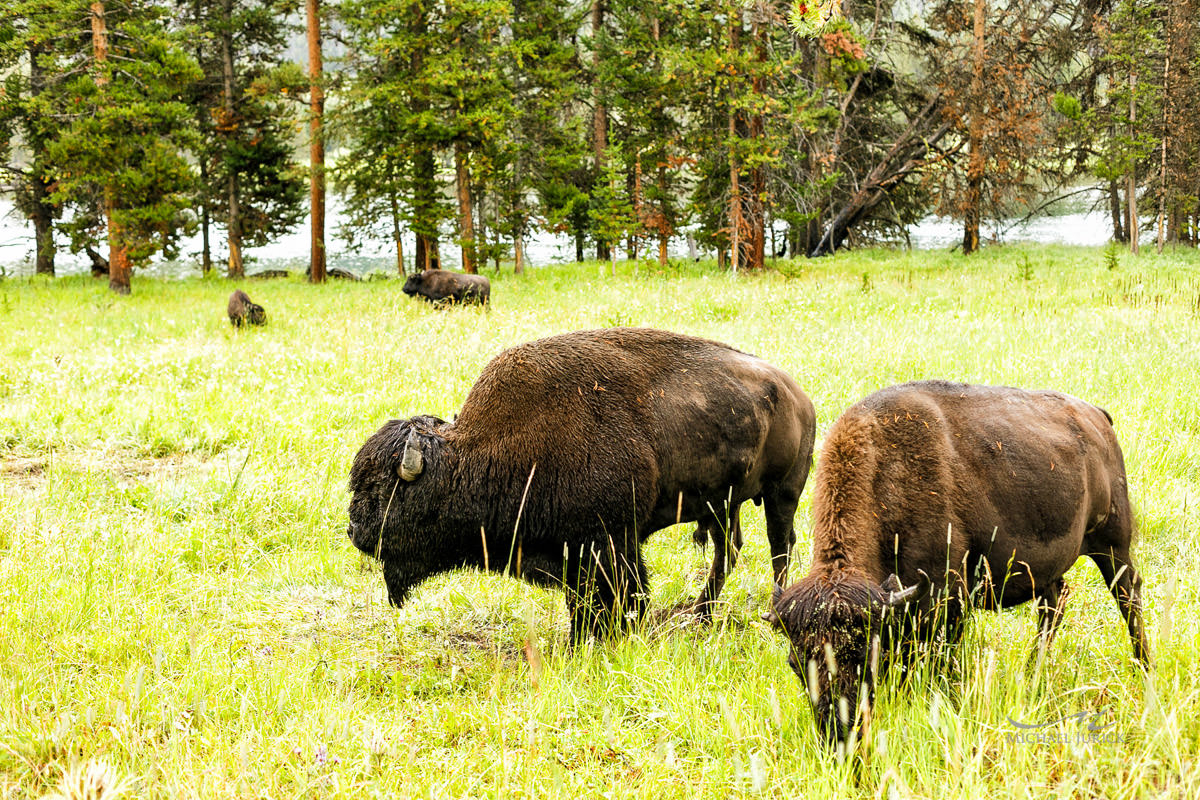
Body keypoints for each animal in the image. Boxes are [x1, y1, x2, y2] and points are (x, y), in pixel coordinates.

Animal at [348, 328, 816, 647]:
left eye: (385, 491)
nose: (354, 531)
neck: (481, 454)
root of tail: (797, 394)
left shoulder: (609, 540)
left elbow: (617, 590)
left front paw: (604, 634)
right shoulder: (573, 550)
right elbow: (585, 597)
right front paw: (587, 635)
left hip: (782, 494)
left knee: (779, 547)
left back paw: (771, 612)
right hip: (721, 505)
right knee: (729, 549)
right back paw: (700, 615)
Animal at [768, 379, 1152, 748]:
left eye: (865, 656)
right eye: (795, 664)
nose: (839, 735)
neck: (889, 470)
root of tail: (1097, 417)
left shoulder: (946, 601)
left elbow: (942, 667)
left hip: (1113, 545)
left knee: (1128, 597)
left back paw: (1144, 668)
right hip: (1048, 569)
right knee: (1053, 606)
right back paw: (1032, 676)